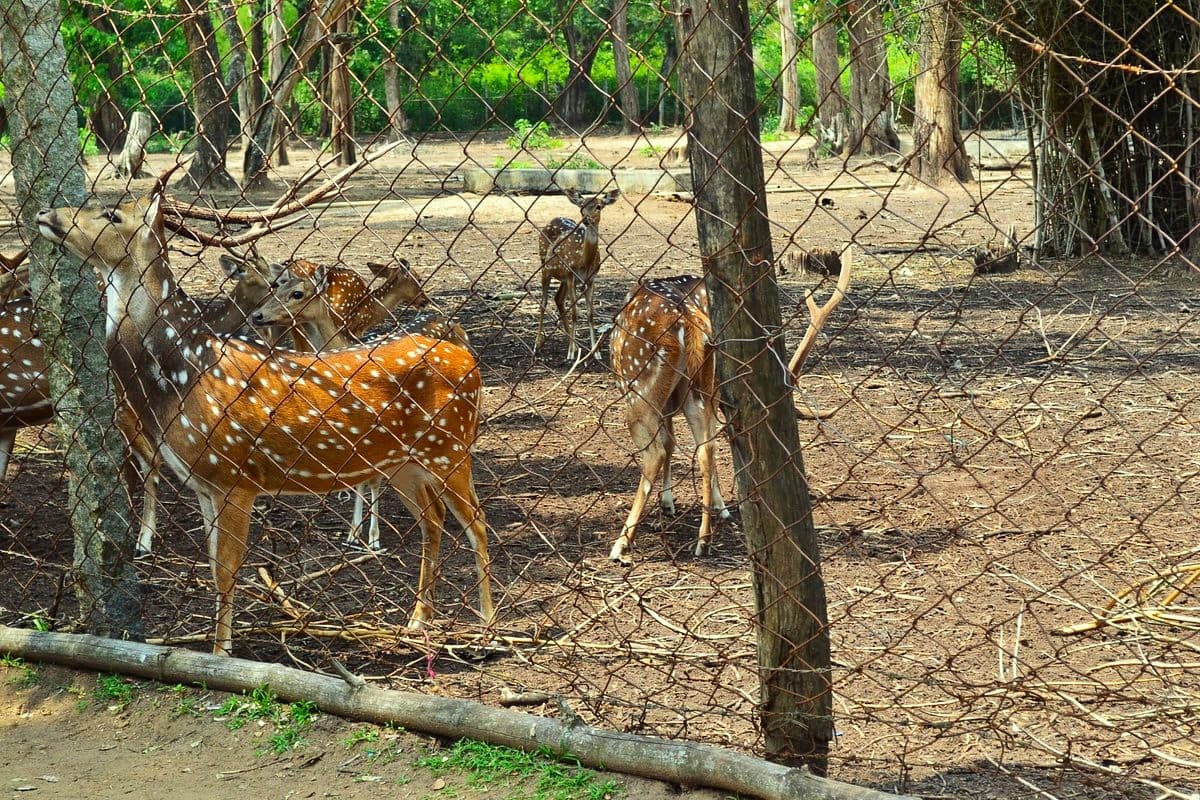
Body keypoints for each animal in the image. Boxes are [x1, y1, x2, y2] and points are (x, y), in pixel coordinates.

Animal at [37, 184, 494, 652]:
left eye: (112, 215)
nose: (45, 213)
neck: (181, 375)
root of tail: (470, 359)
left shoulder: (234, 476)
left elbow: (226, 571)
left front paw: (222, 652)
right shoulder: (203, 484)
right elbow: (213, 567)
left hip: (452, 446)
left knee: (477, 523)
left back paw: (487, 625)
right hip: (403, 462)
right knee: (433, 521)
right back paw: (418, 619)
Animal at [532, 188, 619, 362]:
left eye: (599, 206)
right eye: (582, 206)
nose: (586, 219)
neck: (584, 260)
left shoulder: (590, 279)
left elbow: (590, 314)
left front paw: (595, 352)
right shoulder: (572, 276)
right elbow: (574, 313)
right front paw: (571, 353)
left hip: (563, 277)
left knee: (558, 298)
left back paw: (576, 345)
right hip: (545, 266)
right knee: (544, 302)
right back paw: (537, 345)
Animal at [609, 250, 854, 563]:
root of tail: (689, 317)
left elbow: (668, 442)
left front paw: (669, 504)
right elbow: (676, 440)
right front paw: (689, 504)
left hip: (638, 384)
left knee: (656, 452)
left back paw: (622, 544)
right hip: (701, 385)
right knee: (706, 446)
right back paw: (704, 538)